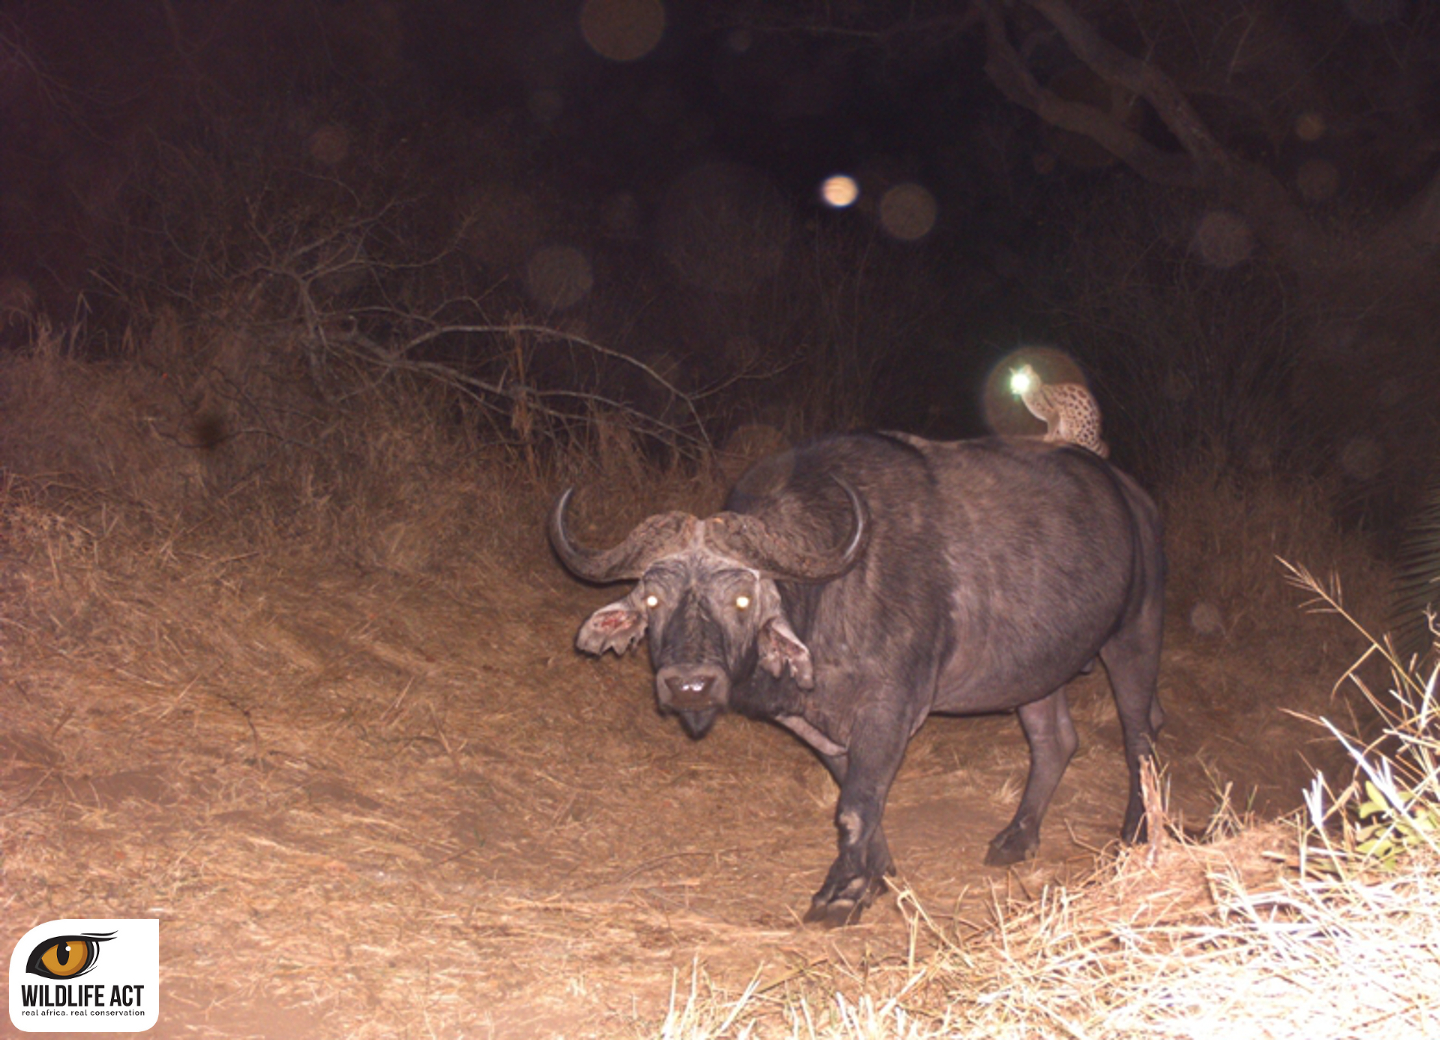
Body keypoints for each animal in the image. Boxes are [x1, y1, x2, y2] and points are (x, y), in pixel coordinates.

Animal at [550, 433, 1165, 926]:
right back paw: (1017, 838)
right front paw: (876, 875)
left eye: (743, 599)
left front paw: (841, 895)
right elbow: (857, 798)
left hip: (1134, 634)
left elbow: (855, 805)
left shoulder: (889, 711)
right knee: (1054, 740)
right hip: (1037, 671)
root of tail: (1134, 497)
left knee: (1141, 735)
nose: (690, 686)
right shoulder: (815, 725)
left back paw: (1137, 832)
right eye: (654, 600)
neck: (828, 599)